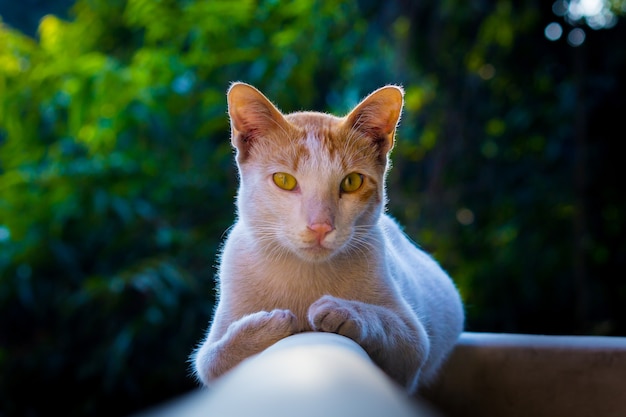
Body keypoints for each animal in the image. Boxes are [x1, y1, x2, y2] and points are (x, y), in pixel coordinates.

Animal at [191, 82, 464, 394]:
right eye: (284, 180)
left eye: (352, 182)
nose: (320, 226)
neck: (306, 274)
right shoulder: (208, 356)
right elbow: (215, 358)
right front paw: (272, 323)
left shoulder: (413, 346)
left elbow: (387, 326)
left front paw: (340, 310)